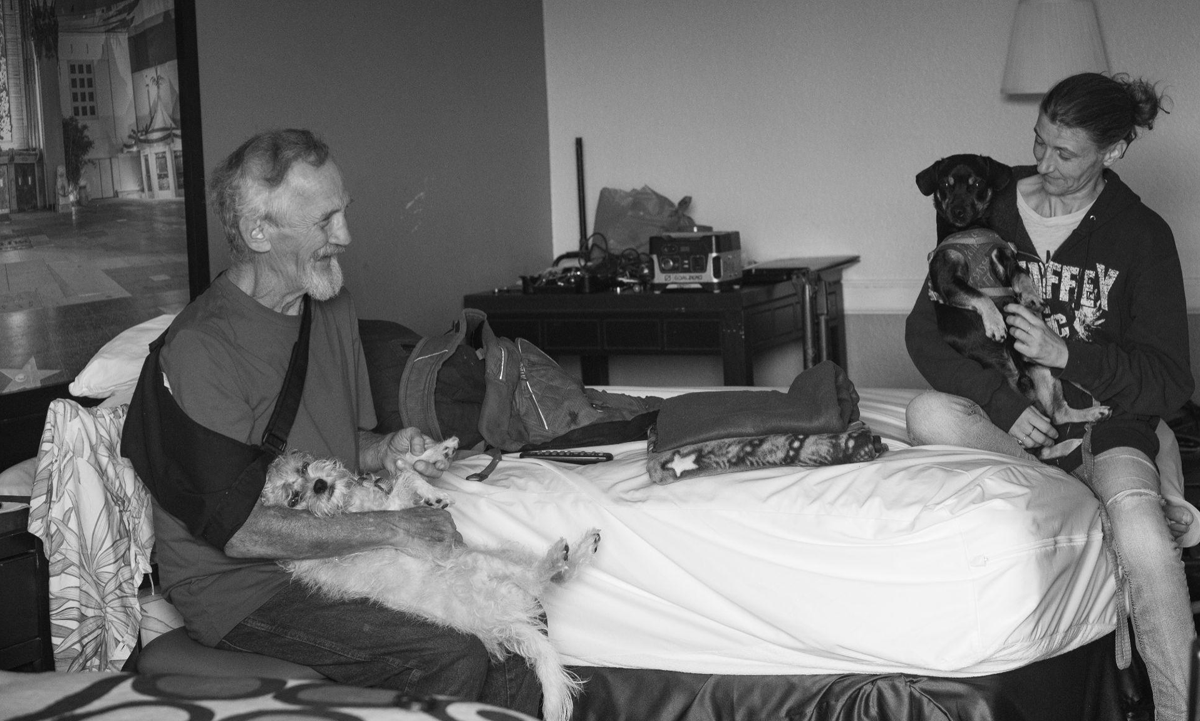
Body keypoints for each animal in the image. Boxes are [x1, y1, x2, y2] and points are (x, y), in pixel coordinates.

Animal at [916, 152, 1104, 458]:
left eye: (976, 183)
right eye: (945, 184)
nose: (958, 211)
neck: (972, 231)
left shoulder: (1007, 258)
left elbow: (1022, 278)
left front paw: (1031, 298)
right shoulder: (947, 281)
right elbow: (979, 296)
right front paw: (995, 324)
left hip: (1042, 369)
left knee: (1058, 415)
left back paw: (1092, 417)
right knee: (1047, 438)